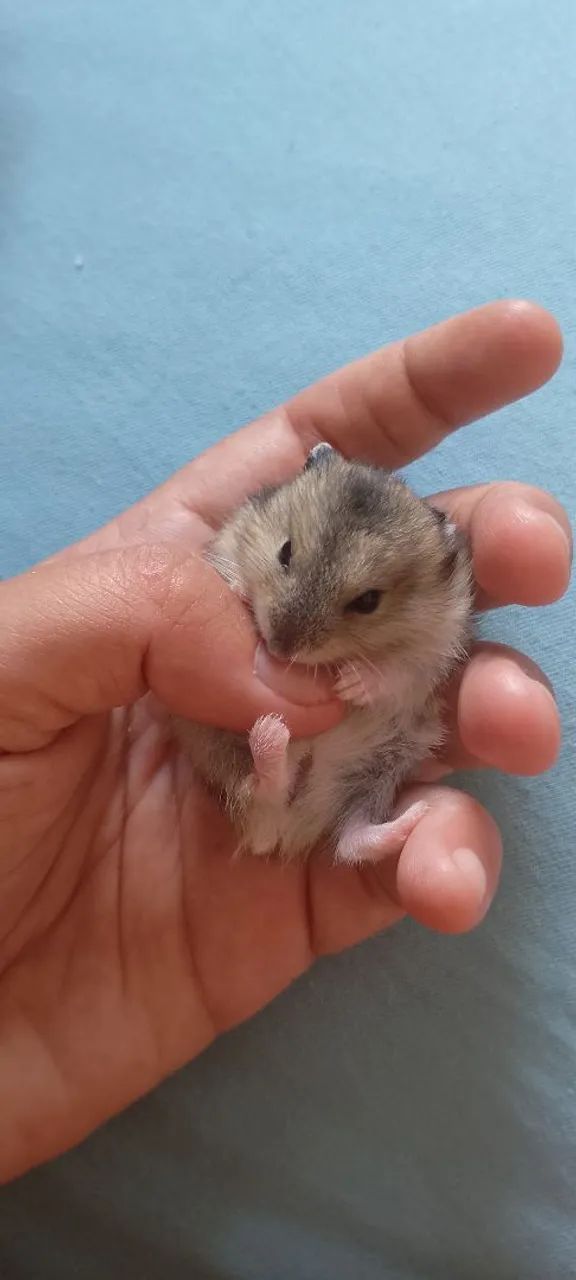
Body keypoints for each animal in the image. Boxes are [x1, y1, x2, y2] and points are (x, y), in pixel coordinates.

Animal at [175, 444, 474, 865]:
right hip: (218, 745)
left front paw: (349, 685)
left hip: (383, 766)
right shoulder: (232, 537)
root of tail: (287, 831)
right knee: (257, 792)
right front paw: (238, 589)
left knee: (351, 837)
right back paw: (272, 737)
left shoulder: (438, 644)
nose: (279, 649)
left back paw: (415, 814)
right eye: (285, 552)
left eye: (369, 601)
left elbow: (398, 669)